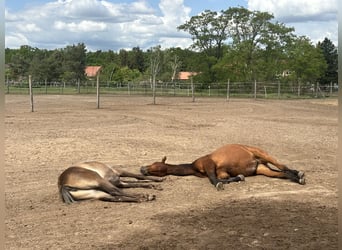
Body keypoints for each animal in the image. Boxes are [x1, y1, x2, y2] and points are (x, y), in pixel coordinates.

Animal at [140, 145, 306, 189]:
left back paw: (299, 174)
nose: (142, 169)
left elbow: (214, 180)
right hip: (263, 169)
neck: (194, 167)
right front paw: (239, 177)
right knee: (282, 173)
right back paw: (297, 178)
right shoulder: (222, 172)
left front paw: (221, 185)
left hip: (262, 154)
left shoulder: (208, 164)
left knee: (283, 166)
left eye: (154, 165)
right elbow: (224, 178)